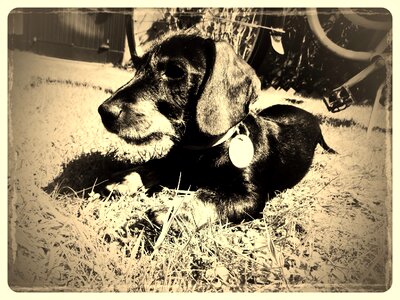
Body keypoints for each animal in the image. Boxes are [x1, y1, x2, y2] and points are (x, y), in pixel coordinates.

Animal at [98, 33, 336, 225]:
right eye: (138, 67)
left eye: (175, 72)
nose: (104, 111)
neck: (201, 150)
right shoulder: (172, 162)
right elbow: (151, 166)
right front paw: (123, 180)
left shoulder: (249, 197)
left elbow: (209, 198)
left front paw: (171, 211)